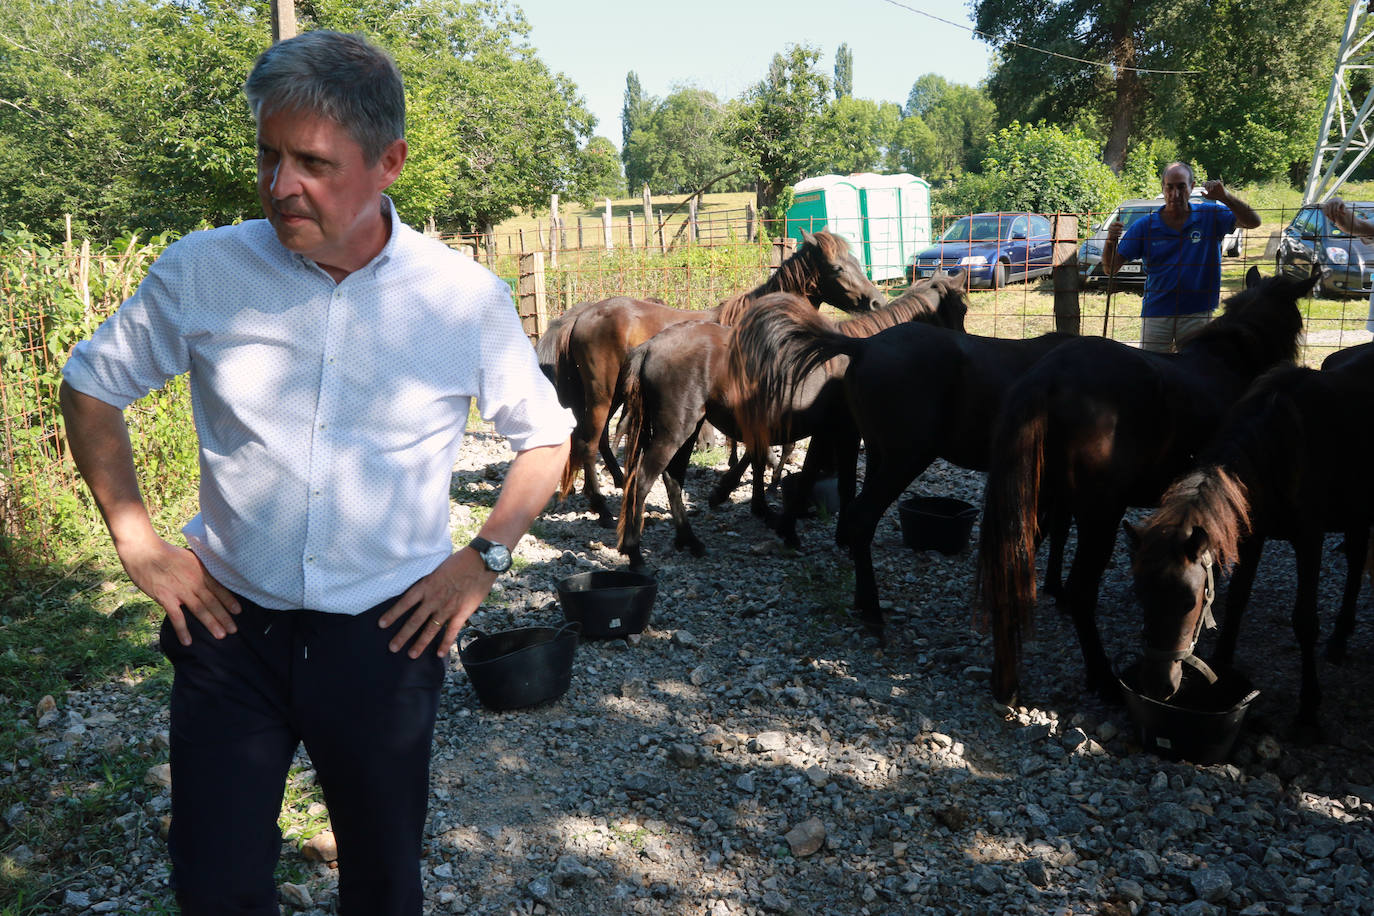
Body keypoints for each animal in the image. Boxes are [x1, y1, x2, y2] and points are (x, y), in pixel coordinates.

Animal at [535, 233, 879, 527]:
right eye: (837, 267)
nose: (875, 300)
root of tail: (581, 317)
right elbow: (753, 451)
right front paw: (731, 491)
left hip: (615, 394)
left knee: (601, 440)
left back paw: (618, 483)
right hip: (602, 394)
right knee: (588, 443)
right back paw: (603, 509)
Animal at [618, 276, 972, 568]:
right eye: (962, 308)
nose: (963, 351)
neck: (858, 353)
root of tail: (651, 346)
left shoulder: (825, 432)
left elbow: (809, 477)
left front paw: (788, 529)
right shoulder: (845, 432)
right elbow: (843, 484)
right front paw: (840, 537)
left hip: (687, 430)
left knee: (673, 479)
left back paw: (689, 541)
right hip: (675, 431)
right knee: (643, 481)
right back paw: (635, 552)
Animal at [730, 298, 1071, 634]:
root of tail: (864, 346)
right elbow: (1055, 528)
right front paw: (1054, 589)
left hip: (878, 453)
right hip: (906, 458)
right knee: (861, 515)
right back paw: (872, 610)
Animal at [983, 269, 1313, 708]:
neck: (1232, 358)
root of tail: (1048, 376)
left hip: (1036, 505)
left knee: (1011, 571)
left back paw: (1005, 679)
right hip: (1100, 515)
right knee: (1080, 591)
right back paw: (1103, 678)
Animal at [1121, 340, 1374, 725]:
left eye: (1189, 601)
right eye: (1141, 595)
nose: (1157, 684)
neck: (1280, 448)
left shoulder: (1310, 539)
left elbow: (1305, 620)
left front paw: (1308, 709)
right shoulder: (1252, 536)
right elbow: (1238, 602)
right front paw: (1223, 675)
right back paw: (1340, 638)